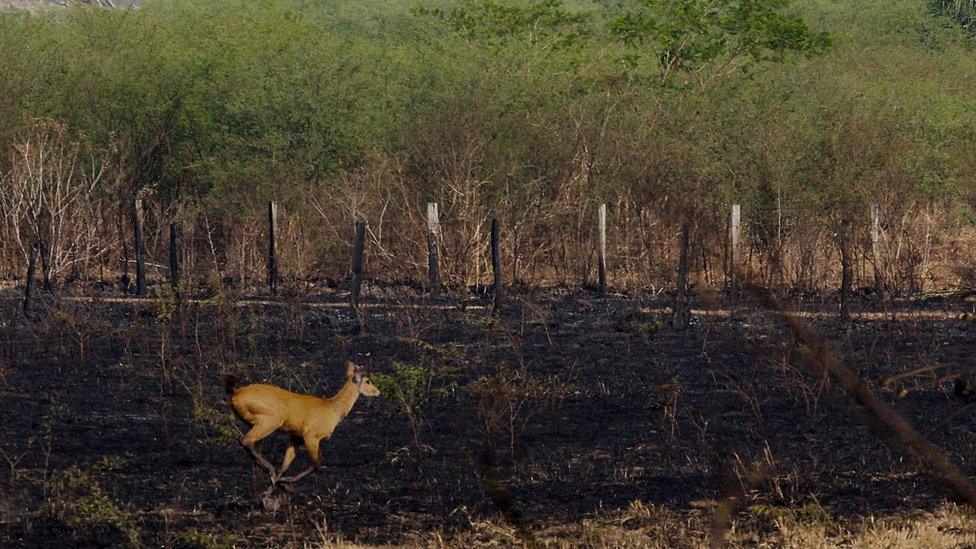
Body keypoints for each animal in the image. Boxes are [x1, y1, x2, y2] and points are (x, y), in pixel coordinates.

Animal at [227, 360, 380, 488]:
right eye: (368, 381)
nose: (378, 392)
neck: (332, 410)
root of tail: (236, 393)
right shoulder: (311, 434)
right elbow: (316, 463)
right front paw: (285, 481)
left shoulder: (296, 436)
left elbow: (286, 465)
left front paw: (277, 485)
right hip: (271, 419)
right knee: (245, 440)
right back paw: (270, 470)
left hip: (255, 421)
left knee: (251, 445)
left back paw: (269, 474)